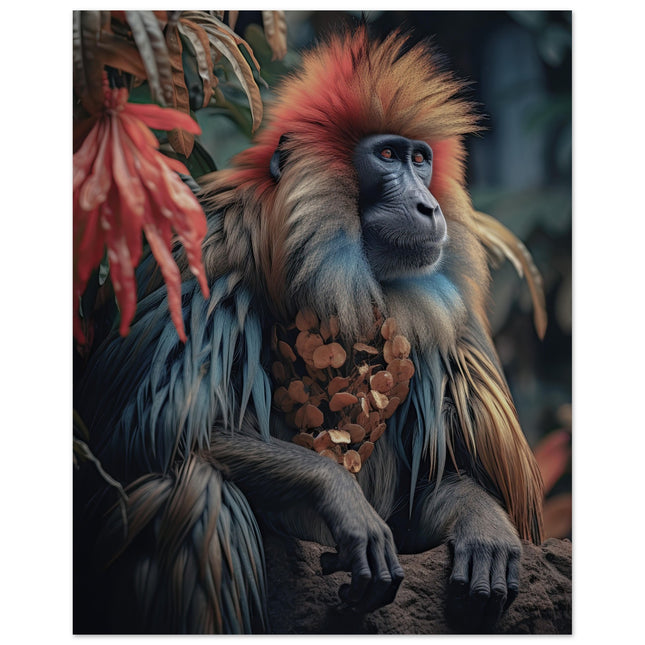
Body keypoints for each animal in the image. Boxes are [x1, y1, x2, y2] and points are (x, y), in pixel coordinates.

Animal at [73, 27, 544, 634]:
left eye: (420, 159)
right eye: (387, 156)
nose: (428, 205)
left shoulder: (454, 322)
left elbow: (436, 484)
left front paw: (482, 524)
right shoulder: (206, 253)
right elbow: (150, 430)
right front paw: (337, 492)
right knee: (186, 480)